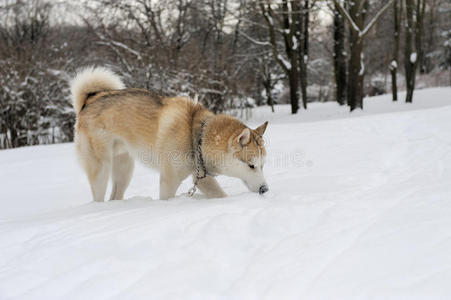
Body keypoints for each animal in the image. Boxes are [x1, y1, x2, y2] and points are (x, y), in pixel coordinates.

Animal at [70, 67, 268, 200]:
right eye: (251, 165)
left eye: (262, 165)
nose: (264, 189)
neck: (197, 137)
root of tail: (89, 101)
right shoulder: (169, 180)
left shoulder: (201, 178)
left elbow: (219, 194)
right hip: (101, 170)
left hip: (124, 169)